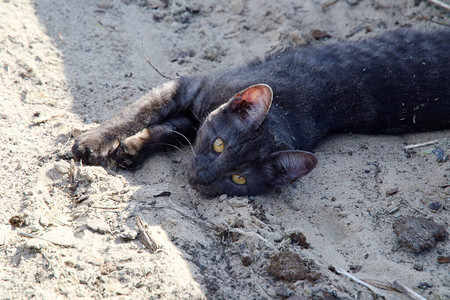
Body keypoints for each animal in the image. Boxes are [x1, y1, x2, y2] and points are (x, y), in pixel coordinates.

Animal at [72, 28, 448, 197]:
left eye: (239, 178)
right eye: (220, 145)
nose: (202, 178)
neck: (293, 109)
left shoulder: (194, 111)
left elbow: (168, 132)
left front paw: (130, 150)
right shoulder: (187, 88)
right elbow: (137, 114)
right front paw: (92, 144)